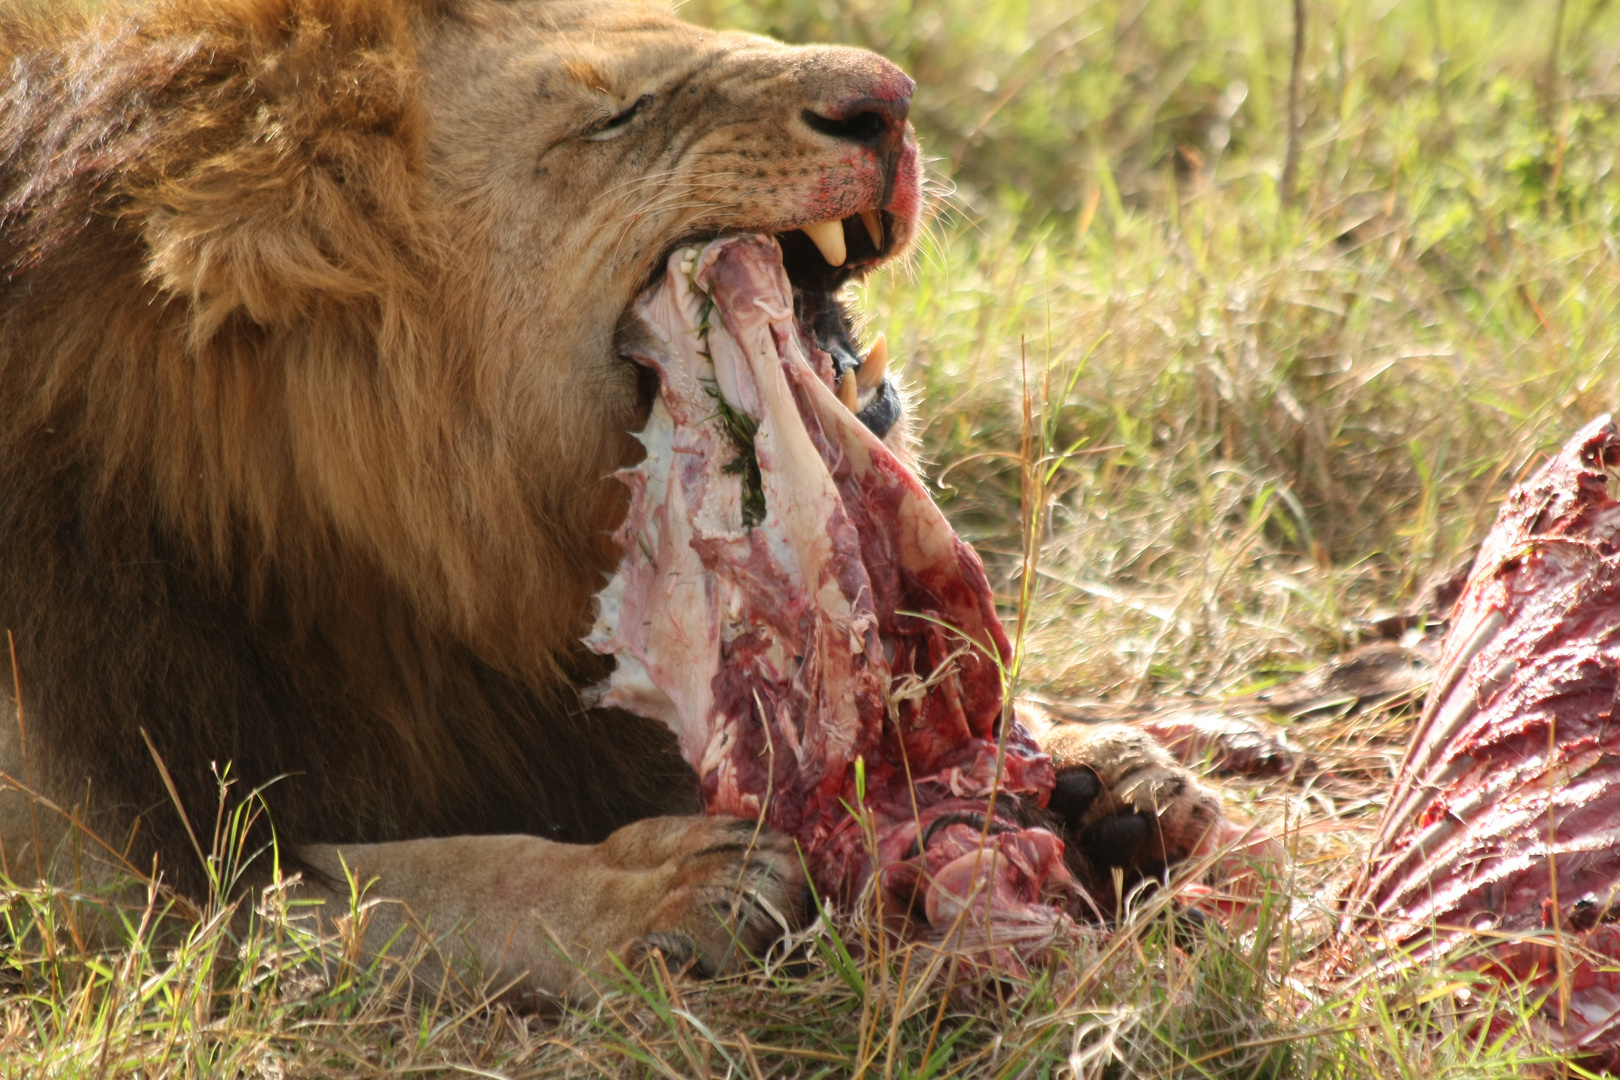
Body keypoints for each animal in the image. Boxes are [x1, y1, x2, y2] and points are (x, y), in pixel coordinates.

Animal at [0, 0, 1224, 1003]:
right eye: (617, 117)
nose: (891, 100)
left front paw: (1117, 769)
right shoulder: (95, 874)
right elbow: (375, 888)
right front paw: (661, 888)